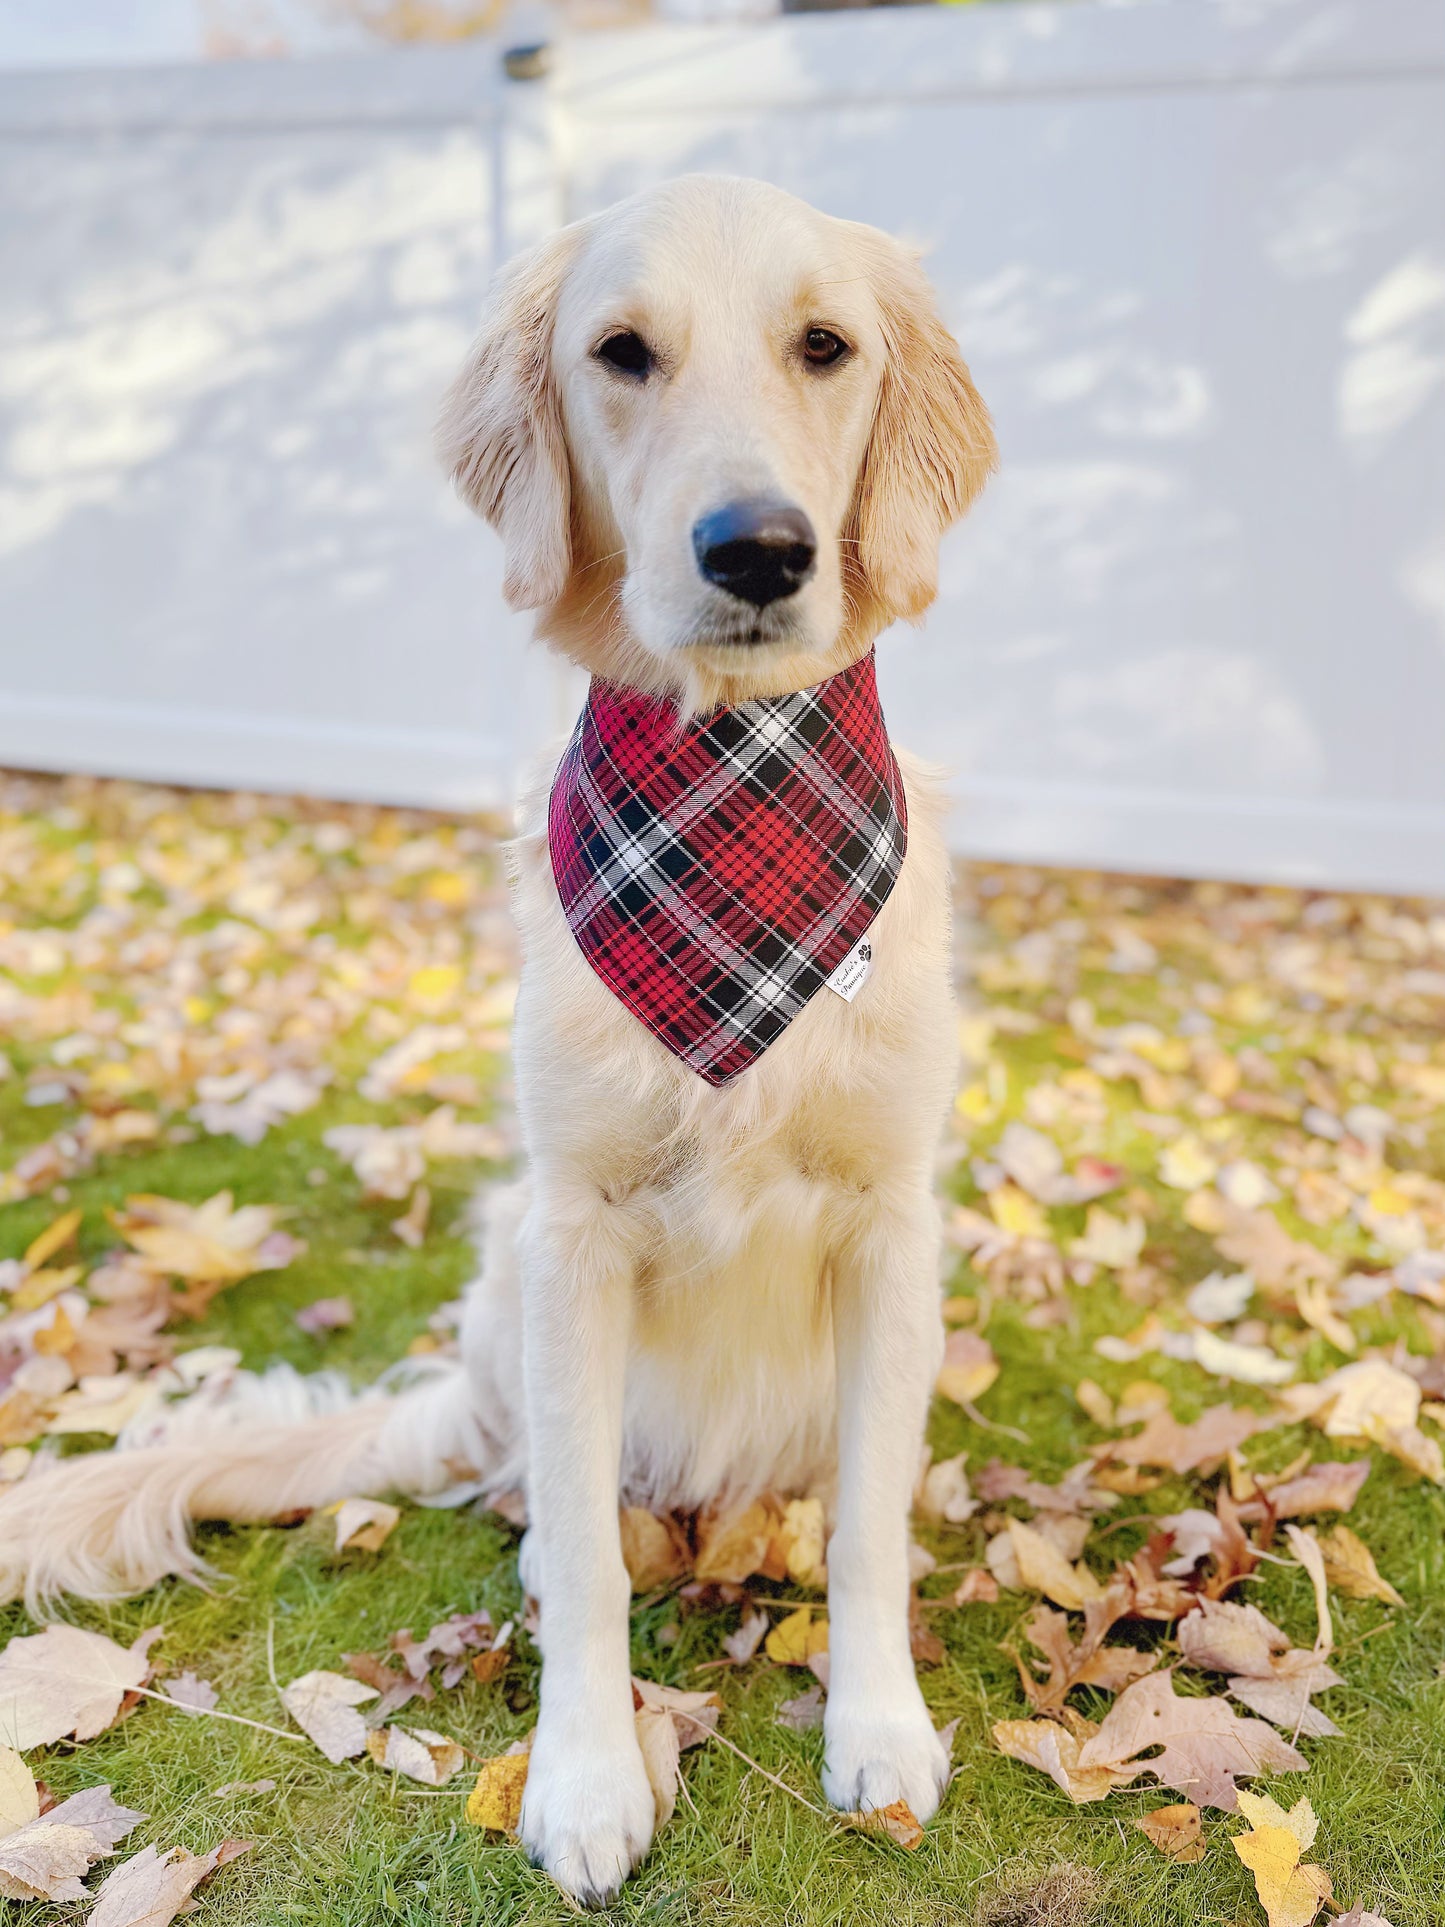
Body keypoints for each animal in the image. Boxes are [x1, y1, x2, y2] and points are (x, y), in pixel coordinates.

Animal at [0, 177, 994, 1896]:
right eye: (623, 352)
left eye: (824, 345)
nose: (757, 549)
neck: (732, 790)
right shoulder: (574, 1229)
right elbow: (588, 1562)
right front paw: (587, 1777)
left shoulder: (890, 1224)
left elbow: (870, 1527)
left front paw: (878, 1726)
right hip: (509, 1284)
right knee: (551, 1506)